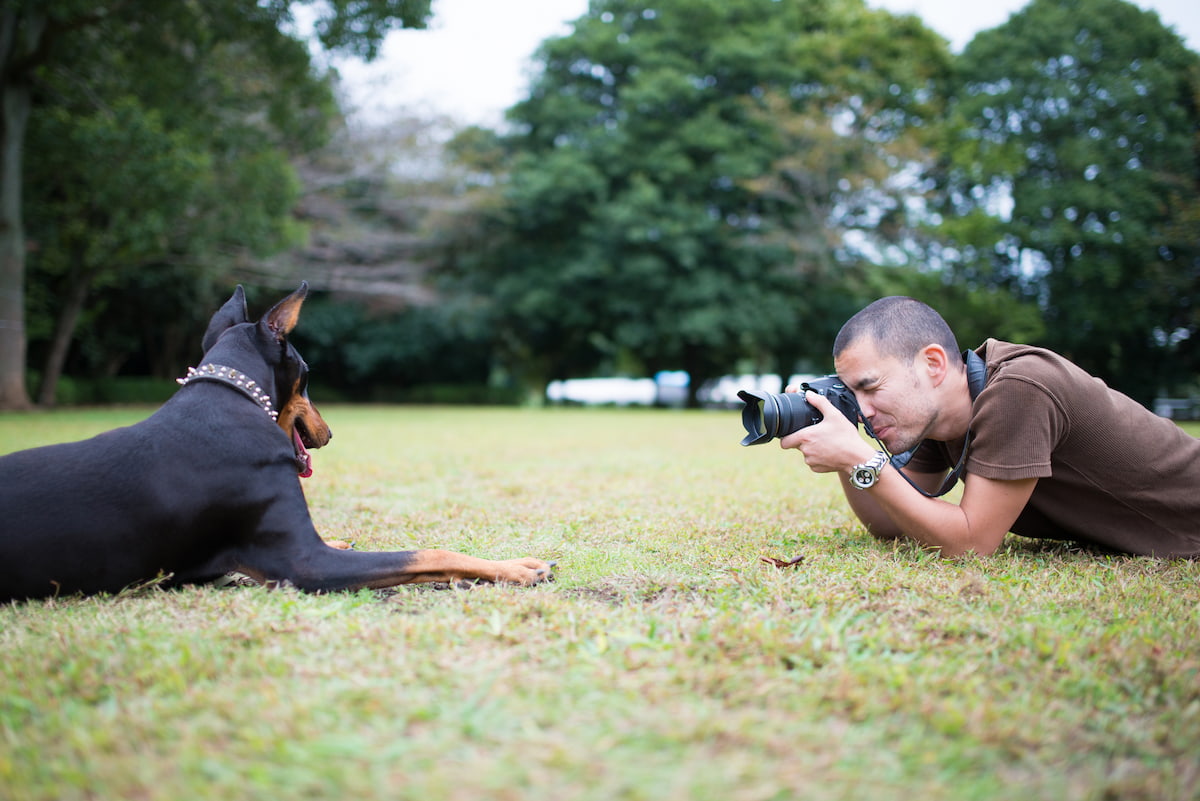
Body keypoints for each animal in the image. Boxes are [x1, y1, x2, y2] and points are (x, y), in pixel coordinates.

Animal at [0, 282, 552, 599]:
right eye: (307, 377)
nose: (331, 432)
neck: (231, 402)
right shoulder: (303, 564)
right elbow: (426, 554)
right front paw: (517, 568)